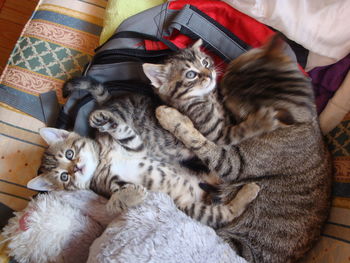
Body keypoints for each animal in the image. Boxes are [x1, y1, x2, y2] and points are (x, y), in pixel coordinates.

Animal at [144, 37, 332, 263]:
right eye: (191, 74)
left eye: (205, 63)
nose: (213, 76)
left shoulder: (231, 158)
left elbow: (202, 142)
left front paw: (172, 117)